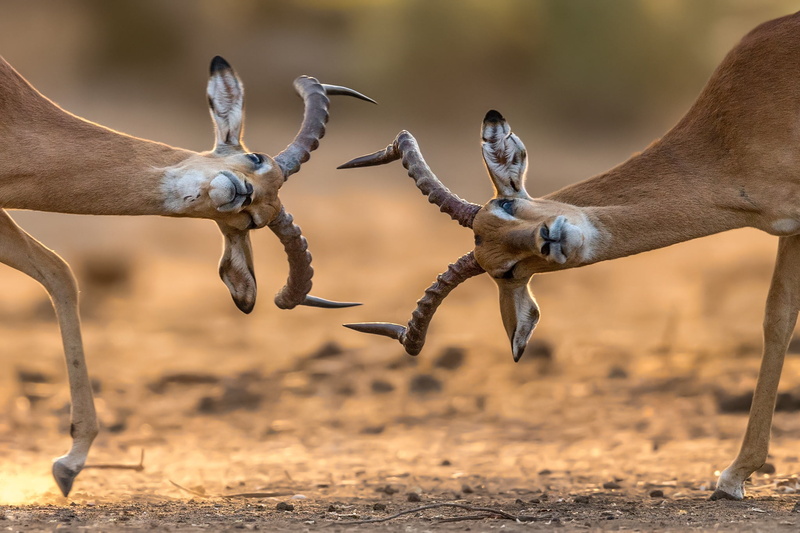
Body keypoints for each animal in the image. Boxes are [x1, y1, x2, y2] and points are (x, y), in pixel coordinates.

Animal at [340, 12, 800, 501]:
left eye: (508, 204)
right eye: (505, 271)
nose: (550, 238)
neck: (731, 133)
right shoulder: (791, 226)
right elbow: (777, 318)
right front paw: (734, 476)